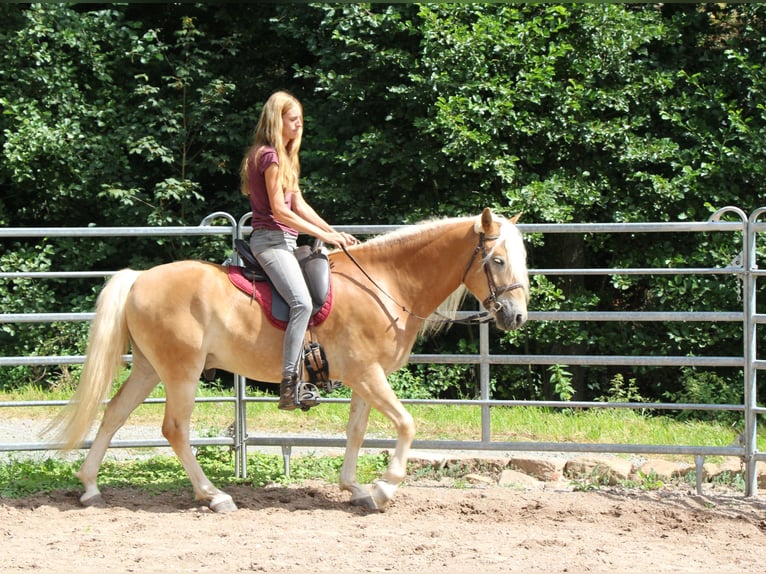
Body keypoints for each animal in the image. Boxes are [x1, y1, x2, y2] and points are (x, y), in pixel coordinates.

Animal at [48, 209, 528, 516]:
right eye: (497, 260)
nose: (516, 315)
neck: (386, 284)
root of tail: (139, 279)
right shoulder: (368, 374)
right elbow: (406, 424)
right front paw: (384, 487)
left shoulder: (363, 379)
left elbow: (356, 432)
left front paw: (355, 488)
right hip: (181, 372)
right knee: (175, 429)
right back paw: (214, 495)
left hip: (150, 368)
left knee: (113, 415)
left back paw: (90, 487)